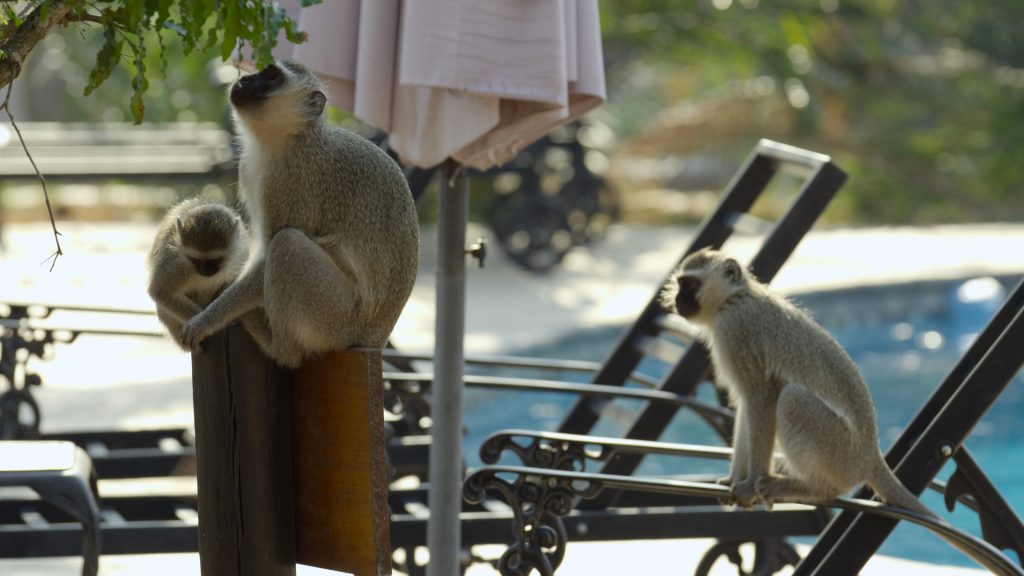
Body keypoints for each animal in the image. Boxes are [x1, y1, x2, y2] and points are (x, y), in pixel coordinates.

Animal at [182, 60, 421, 364]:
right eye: (257, 70)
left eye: (272, 76)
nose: (244, 80)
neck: (288, 138)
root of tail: (375, 339)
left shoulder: (290, 181)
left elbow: (267, 257)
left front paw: (207, 320)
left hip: (336, 316)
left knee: (287, 245)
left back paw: (279, 348)